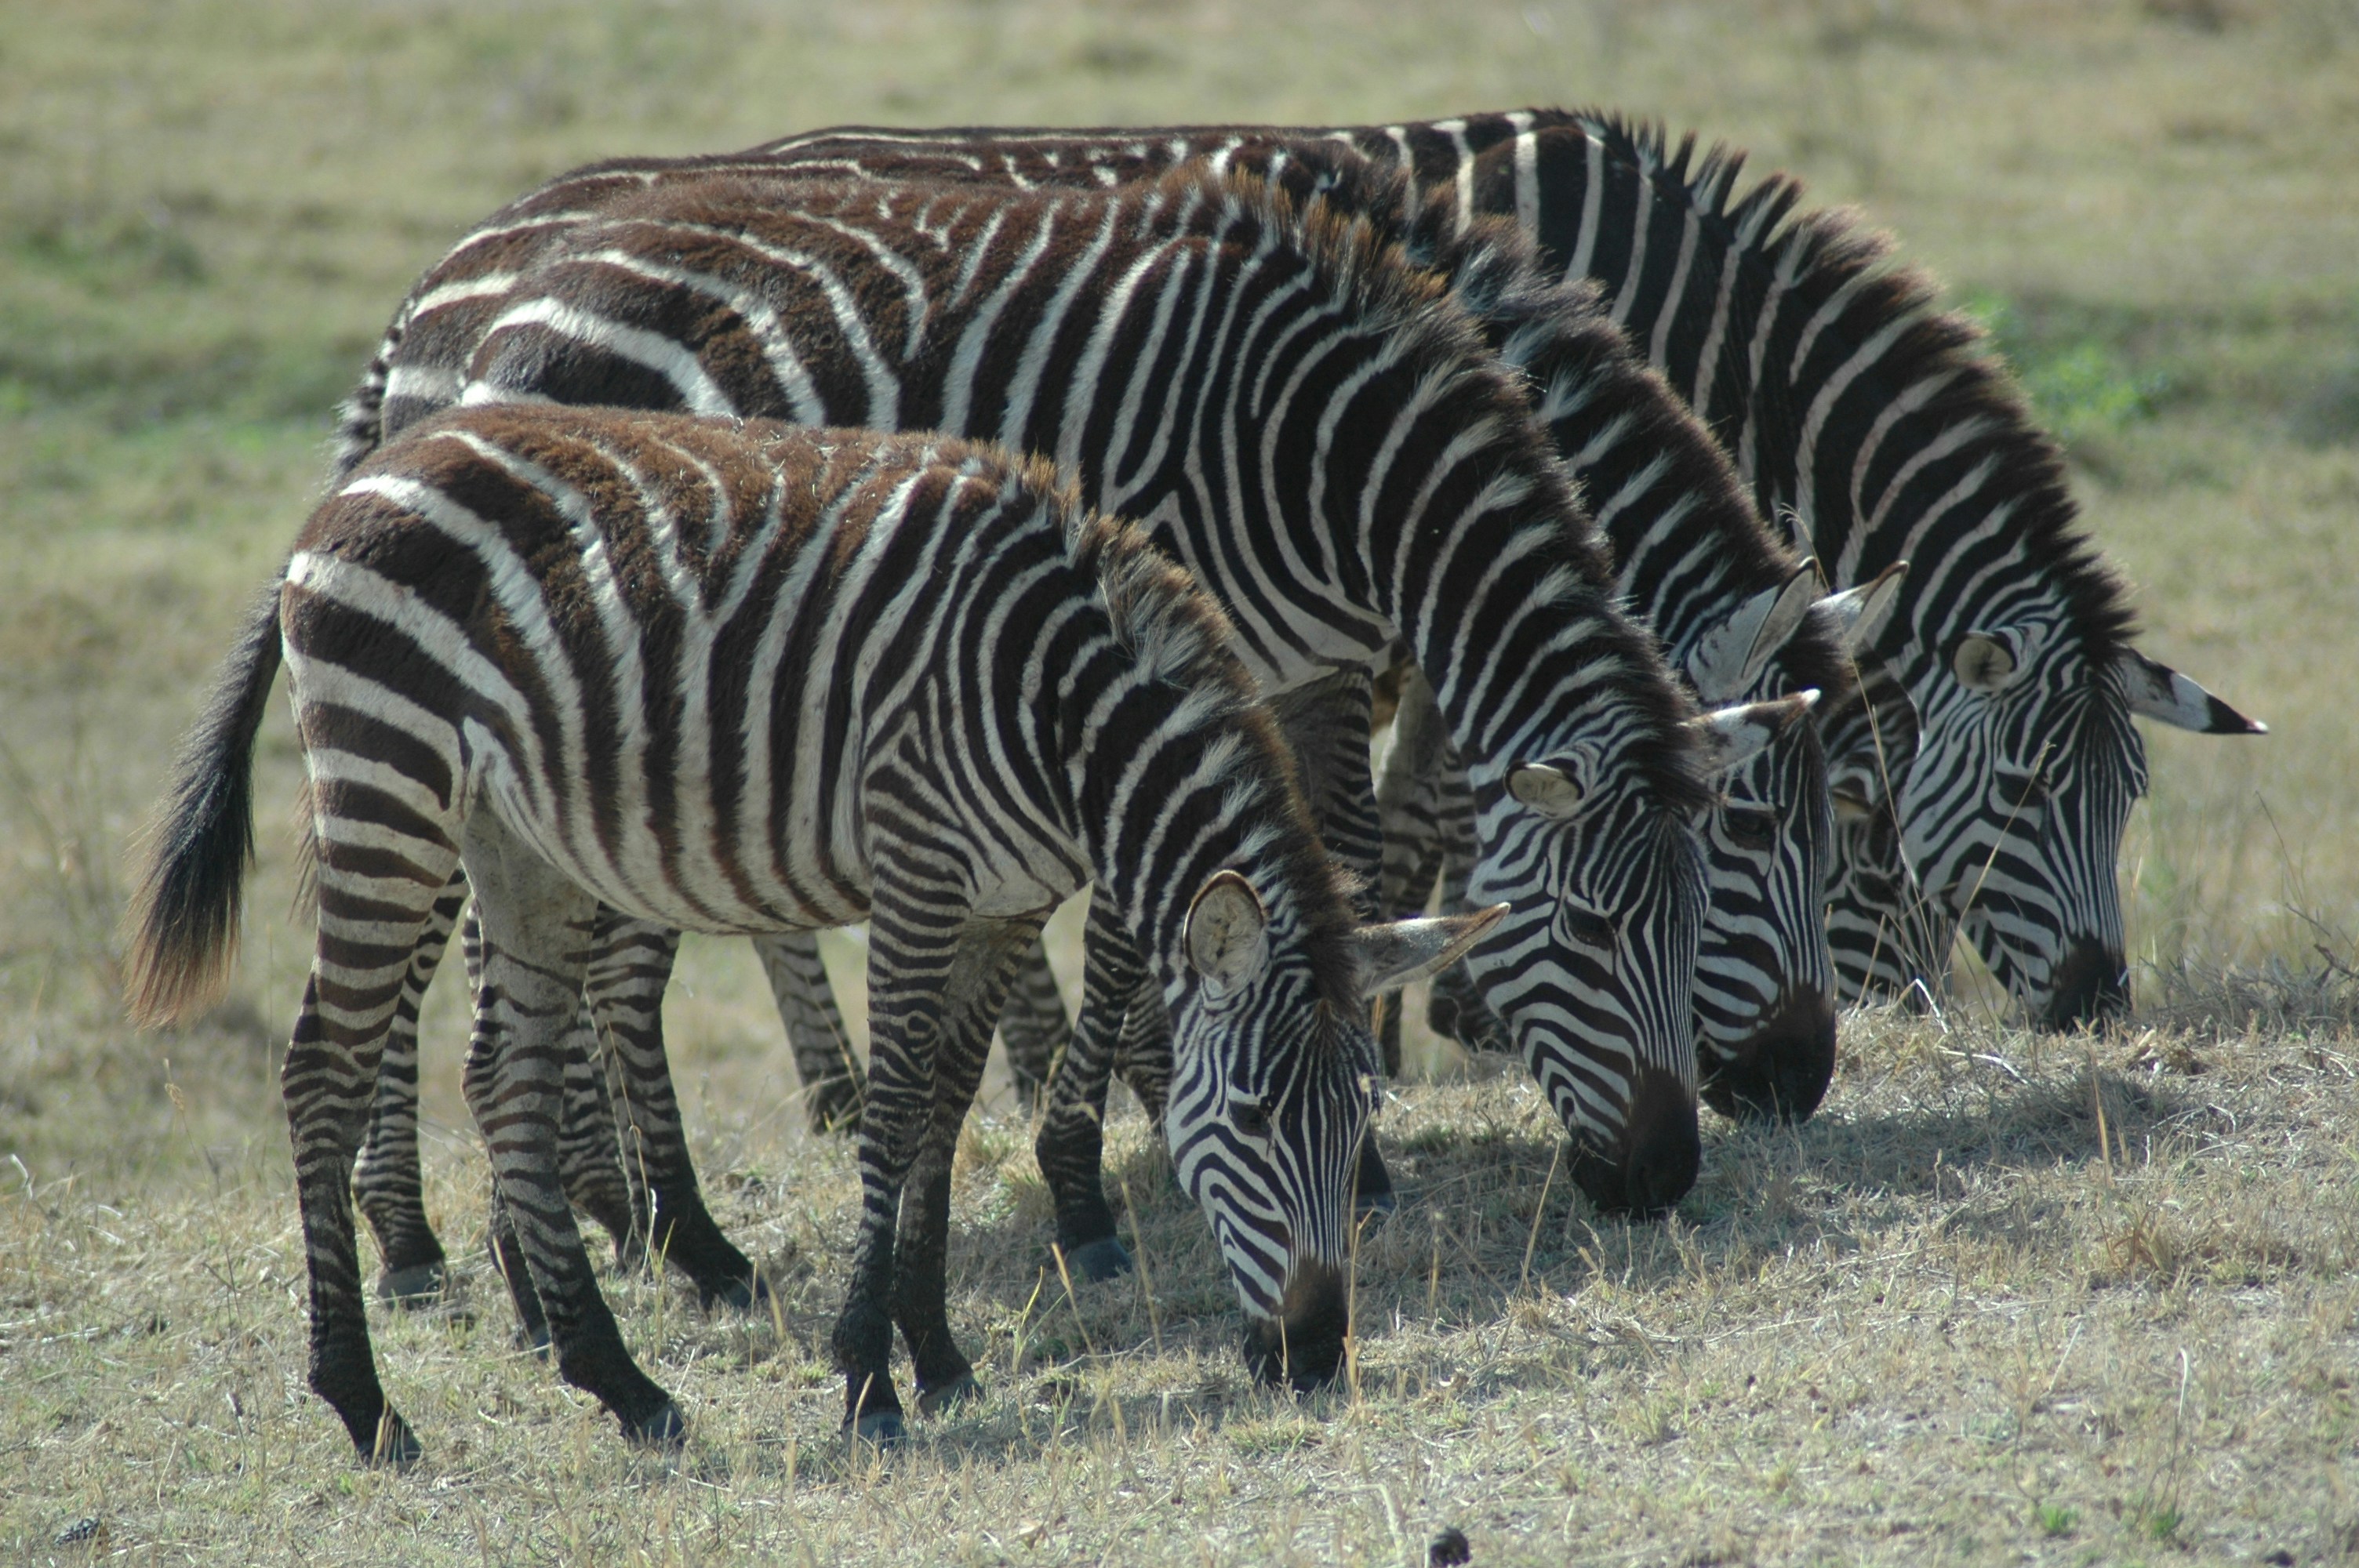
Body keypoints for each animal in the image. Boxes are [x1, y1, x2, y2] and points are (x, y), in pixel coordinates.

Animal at [125, 408, 1505, 1460]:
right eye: (1258, 1120)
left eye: (1363, 1117)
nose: (1317, 1356)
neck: (1055, 708)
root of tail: (356, 479)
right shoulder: (917, 873)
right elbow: (891, 1111)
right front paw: (868, 1380)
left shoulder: (1003, 900)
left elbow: (945, 1106)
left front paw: (937, 1353)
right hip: (389, 791)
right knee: (324, 1070)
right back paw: (366, 1406)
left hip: (512, 844)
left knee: (506, 1082)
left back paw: (619, 1384)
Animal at [735, 111, 2265, 1027]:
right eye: (2025, 790)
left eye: (2129, 795)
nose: (2095, 1004)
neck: (1704, 328)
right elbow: (1431, 808)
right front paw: (1441, 1018)